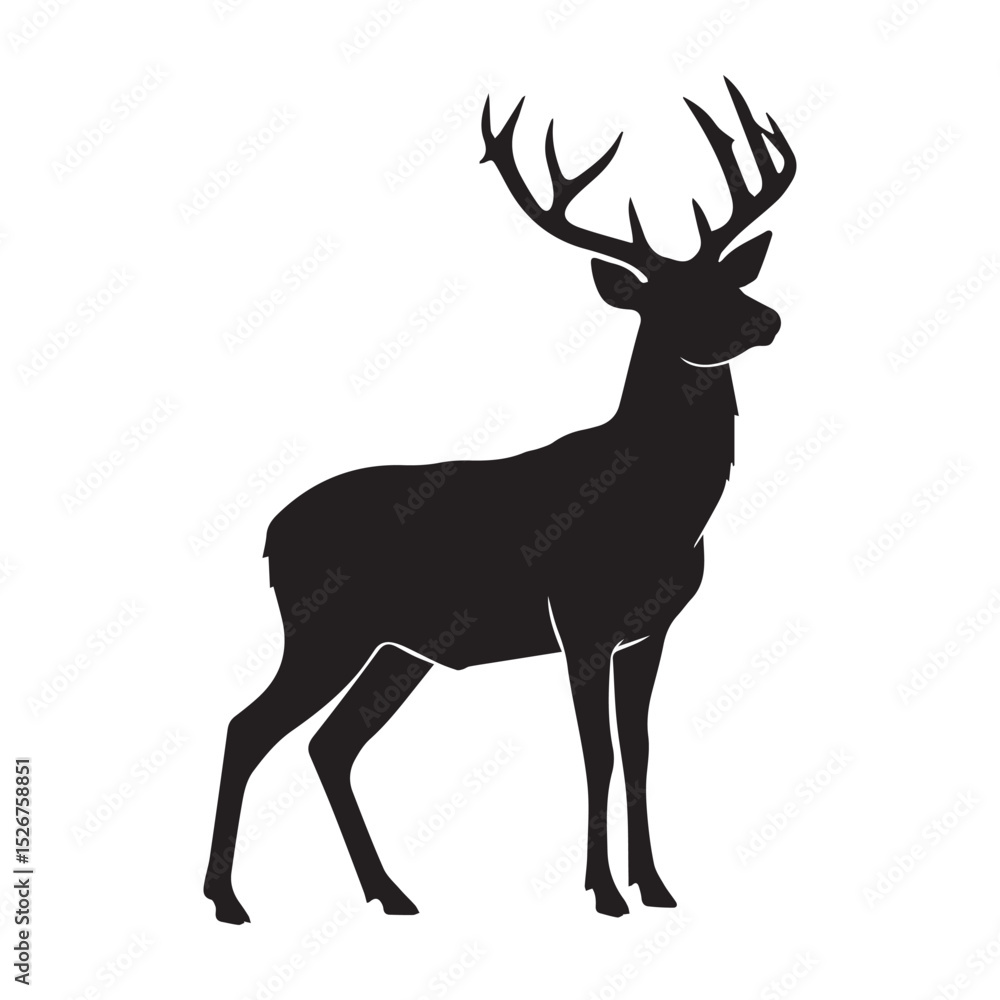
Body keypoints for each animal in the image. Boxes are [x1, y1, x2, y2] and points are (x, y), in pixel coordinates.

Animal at [203, 78, 796, 922]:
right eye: (671, 297)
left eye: (732, 279)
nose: (768, 318)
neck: (659, 511)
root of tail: (269, 533)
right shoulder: (580, 617)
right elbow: (597, 754)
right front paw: (604, 893)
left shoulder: (650, 631)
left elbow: (641, 752)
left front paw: (656, 886)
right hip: (324, 628)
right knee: (248, 727)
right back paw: (228, 899)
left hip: (395, 648)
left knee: (329, 744)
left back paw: (390, 893)